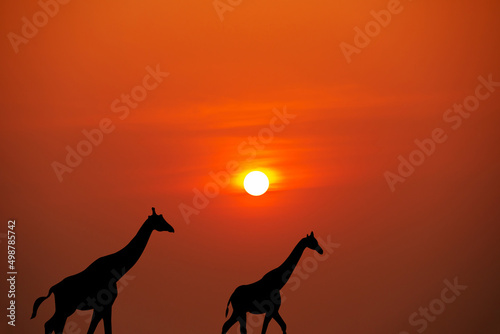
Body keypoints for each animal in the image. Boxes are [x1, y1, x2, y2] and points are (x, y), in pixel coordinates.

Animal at [31, 207, 175, 332]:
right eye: (159, 220)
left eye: (163, 217)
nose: (172, 228)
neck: (115, 271)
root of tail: (53, 288)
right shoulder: (103, 305)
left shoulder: (105, 307)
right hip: (65, 308)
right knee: (52, 325)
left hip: (65, 309)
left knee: (51, 325)